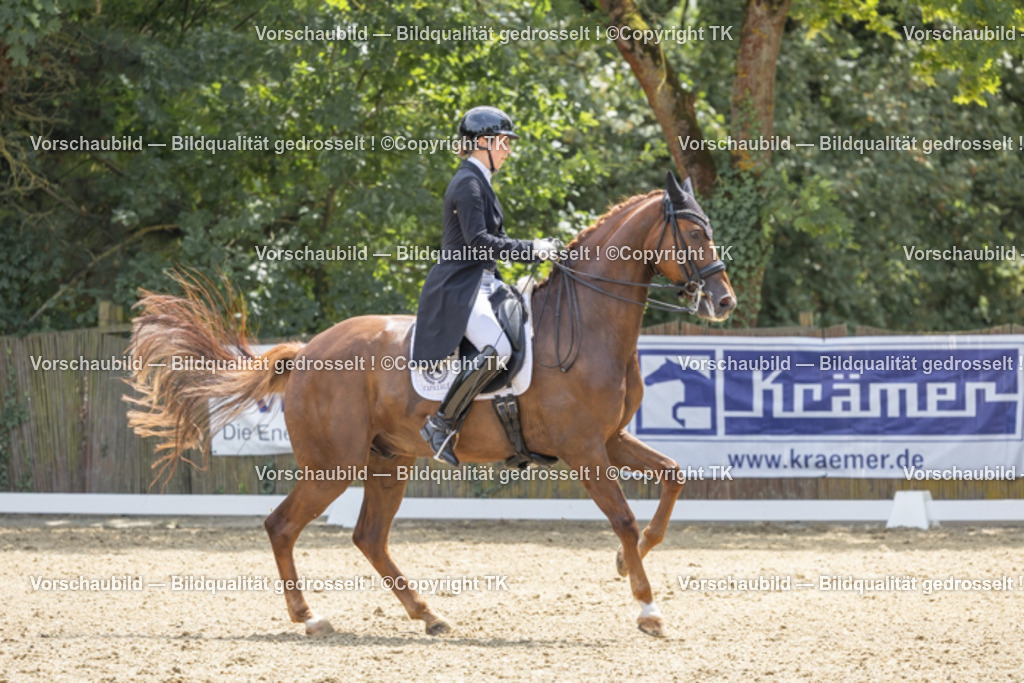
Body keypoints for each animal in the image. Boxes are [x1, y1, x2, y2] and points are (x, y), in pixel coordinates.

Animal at [125, 173, 736, 638]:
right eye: (694, 233)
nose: (724, 301)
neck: (586, 322)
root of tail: (307, 351)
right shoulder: (584, 448)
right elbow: (625, 518)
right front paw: (648, 609)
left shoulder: (610, 439)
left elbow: (673, 478)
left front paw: (625, 564)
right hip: (332, 464)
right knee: (282, 525)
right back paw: (311, 617)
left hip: (387, 461)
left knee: (368, 537)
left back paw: (429, 615)